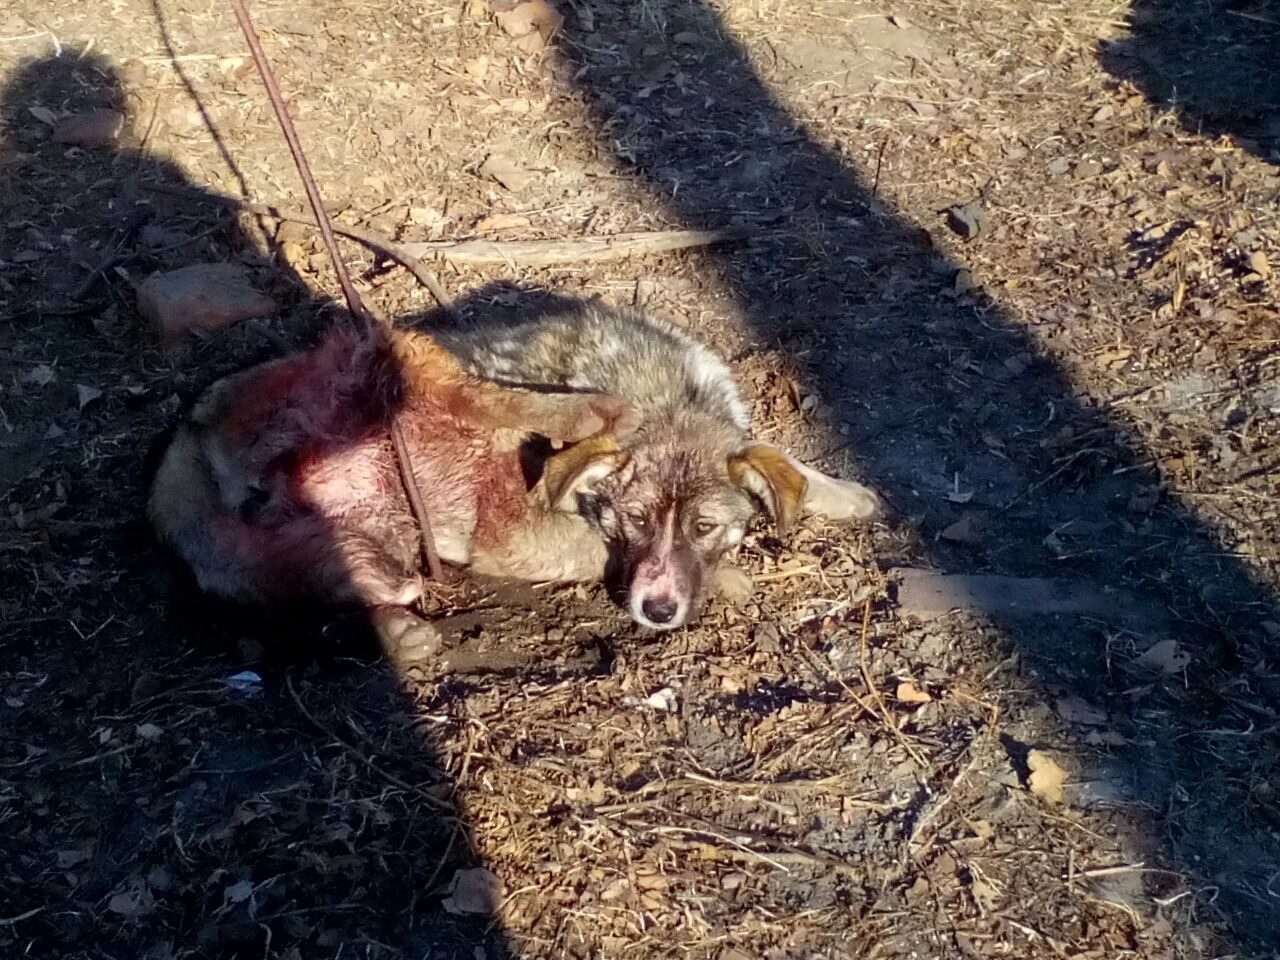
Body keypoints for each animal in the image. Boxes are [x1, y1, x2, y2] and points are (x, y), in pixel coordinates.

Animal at [149, 304, 885, 660]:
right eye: (635, 517)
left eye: (704, 525)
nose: (657, 611)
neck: (664, 397)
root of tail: (185, 446)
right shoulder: (511, 532)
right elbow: (602, 556)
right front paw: (724, 579)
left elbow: (778, 459)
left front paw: (842, 492)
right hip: (395, 357)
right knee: (481, 396)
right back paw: (582, 411)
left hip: (344, 554)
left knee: (367, 589)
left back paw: (400, 631)